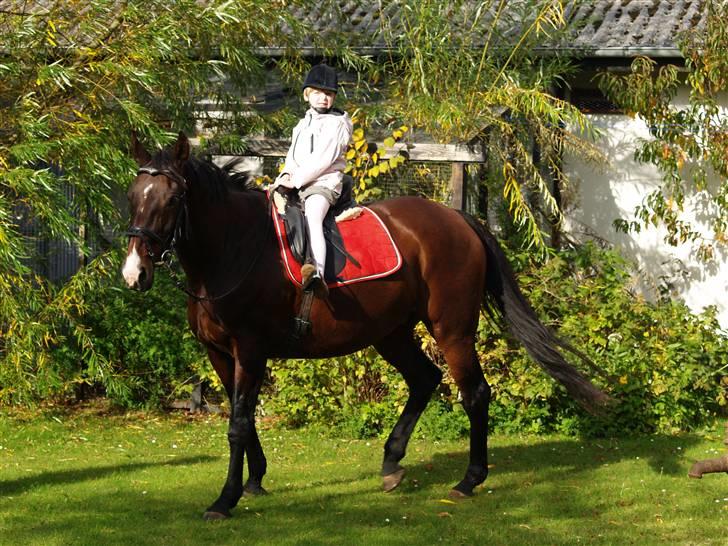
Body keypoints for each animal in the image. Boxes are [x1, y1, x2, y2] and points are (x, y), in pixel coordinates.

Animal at [122, 132, 610, 519]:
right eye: (132, 195)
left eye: (171, 199)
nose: (135, 273)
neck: (234, 248)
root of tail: (458, 219)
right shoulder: (220, 353)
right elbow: (243, 418)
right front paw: (254, 480)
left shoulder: (250, 351)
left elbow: (239, 424)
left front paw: (225, 500)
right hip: (389, 333)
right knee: (424, 379)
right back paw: (392, 464)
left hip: (451, 328)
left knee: (474, 392)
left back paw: (469, 479)